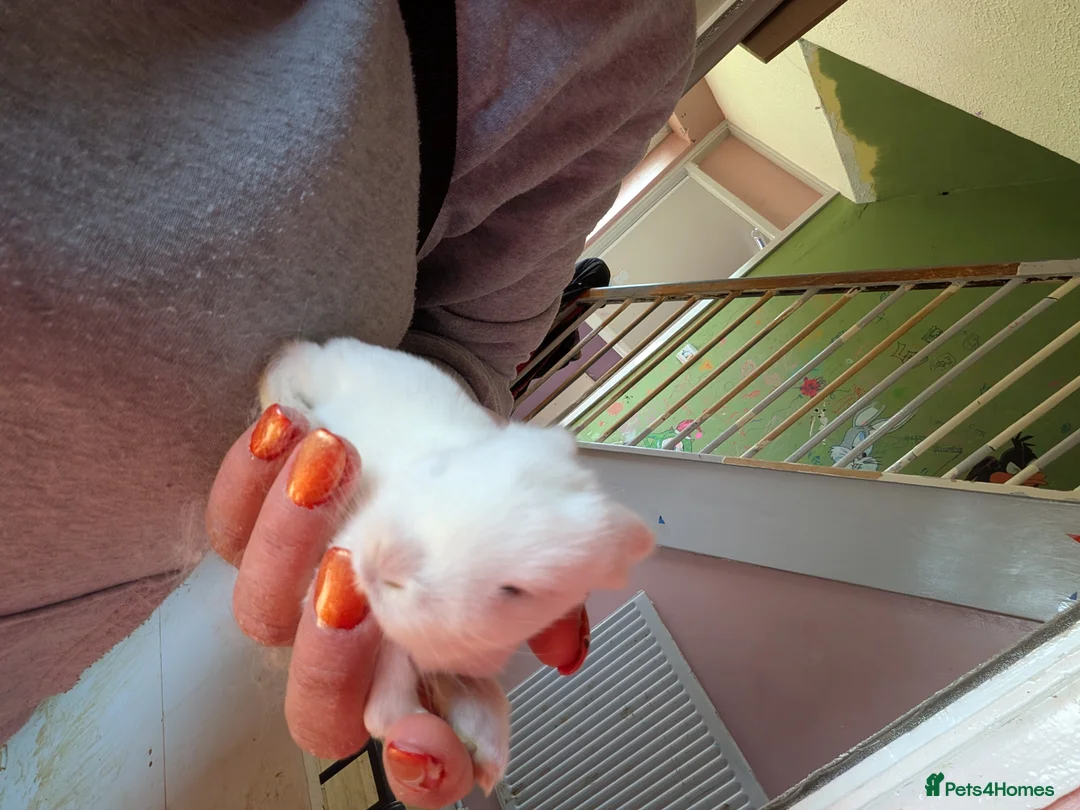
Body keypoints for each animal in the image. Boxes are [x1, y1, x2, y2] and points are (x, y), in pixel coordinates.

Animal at [259, 338, 654, 793]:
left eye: (513, 591)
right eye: (439, 470)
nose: (382, 562)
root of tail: (330, 350)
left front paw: (482, 757)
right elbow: (384, 701)